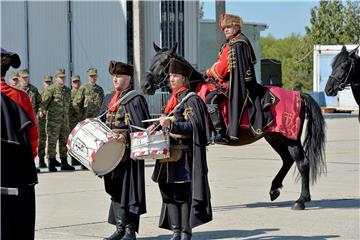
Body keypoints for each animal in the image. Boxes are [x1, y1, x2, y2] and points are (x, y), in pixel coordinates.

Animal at [144, 43, 326, 210]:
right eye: (152, 60)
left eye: (164, 62)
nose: (146, 86)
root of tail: (299, 95)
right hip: (275, 137)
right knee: (287, 160)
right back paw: (275, 189)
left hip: (291, 139)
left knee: (302, 163)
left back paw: (301, 200)